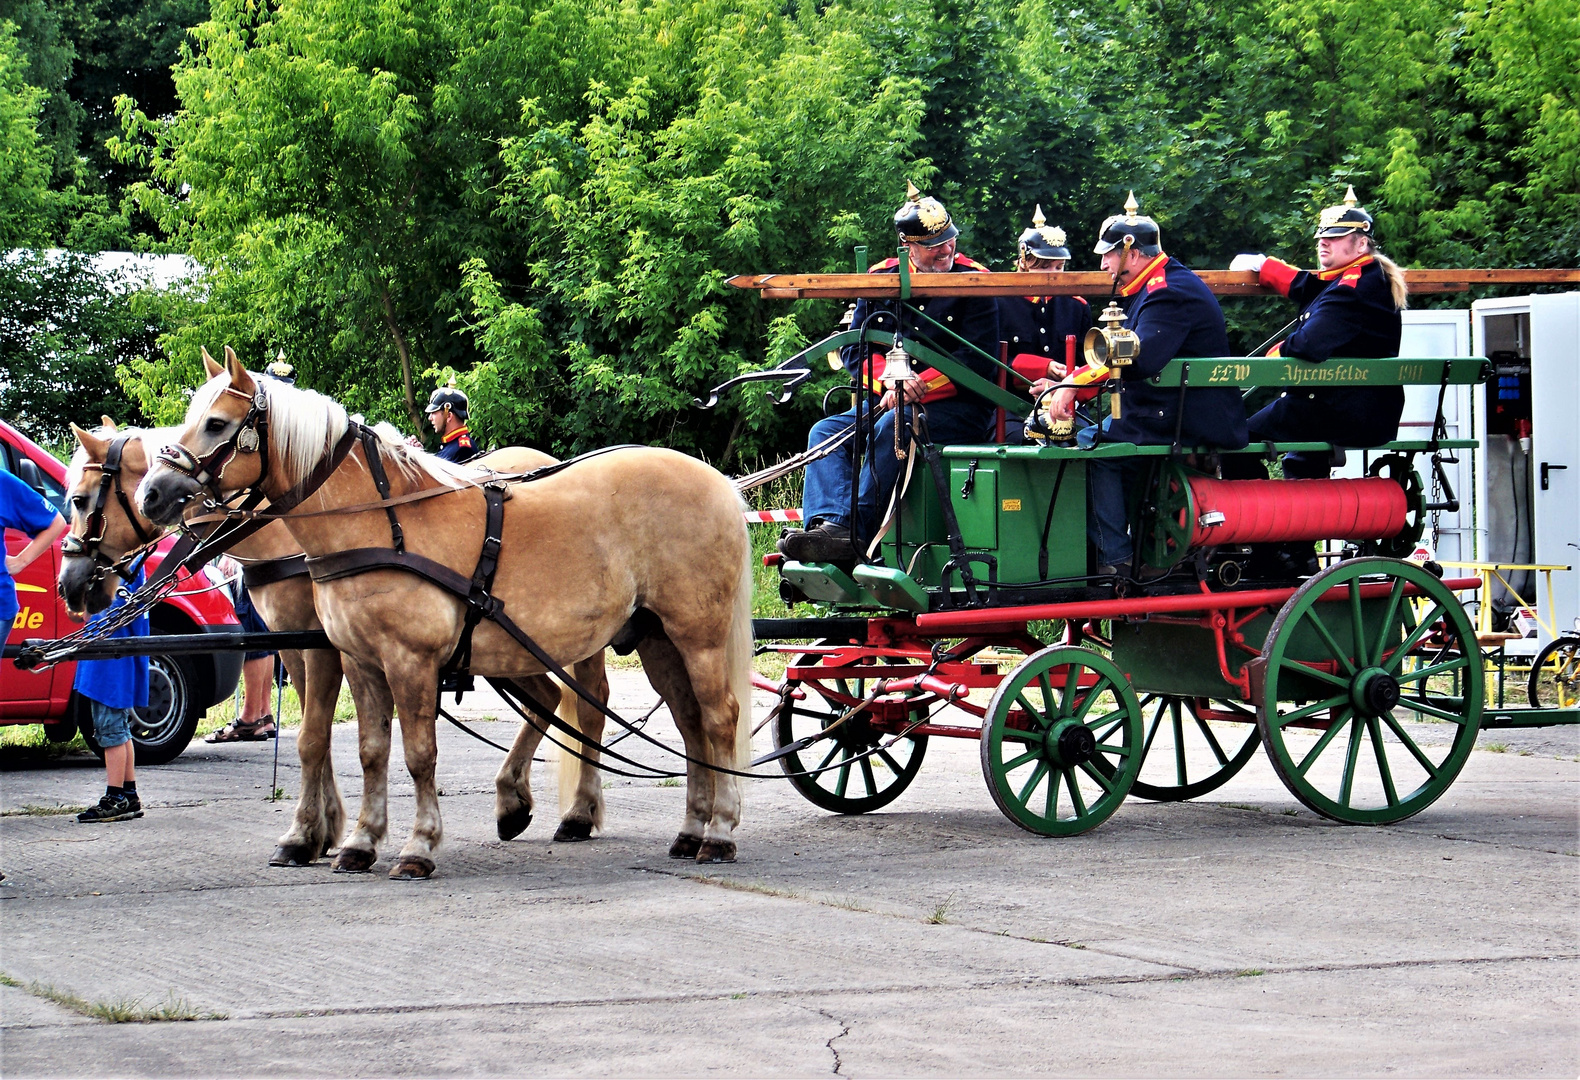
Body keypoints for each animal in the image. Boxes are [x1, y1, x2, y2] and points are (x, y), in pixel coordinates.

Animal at [63, 391, 603, 865]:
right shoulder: (299, 648)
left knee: (589, 703)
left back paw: (577, 812)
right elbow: (317, 732)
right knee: (549, 698)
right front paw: (326, 829)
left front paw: (313, 832)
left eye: (81, 499)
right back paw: (515, 802)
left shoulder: (324, 648)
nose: (71, 586)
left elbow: (316, 735)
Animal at [139, 353, 755, 877]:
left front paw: (416, 845)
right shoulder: (360, 661)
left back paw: (719, 832)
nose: (151, 495)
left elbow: (417, 754)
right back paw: (689, 828)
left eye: (216, 423)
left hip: (695, 635)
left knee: (716, 717)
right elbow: (370, 751)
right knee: (688, 721)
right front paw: (360, 841)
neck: (379, 523)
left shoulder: (408, 661)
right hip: (656, 639)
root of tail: (719, 482)